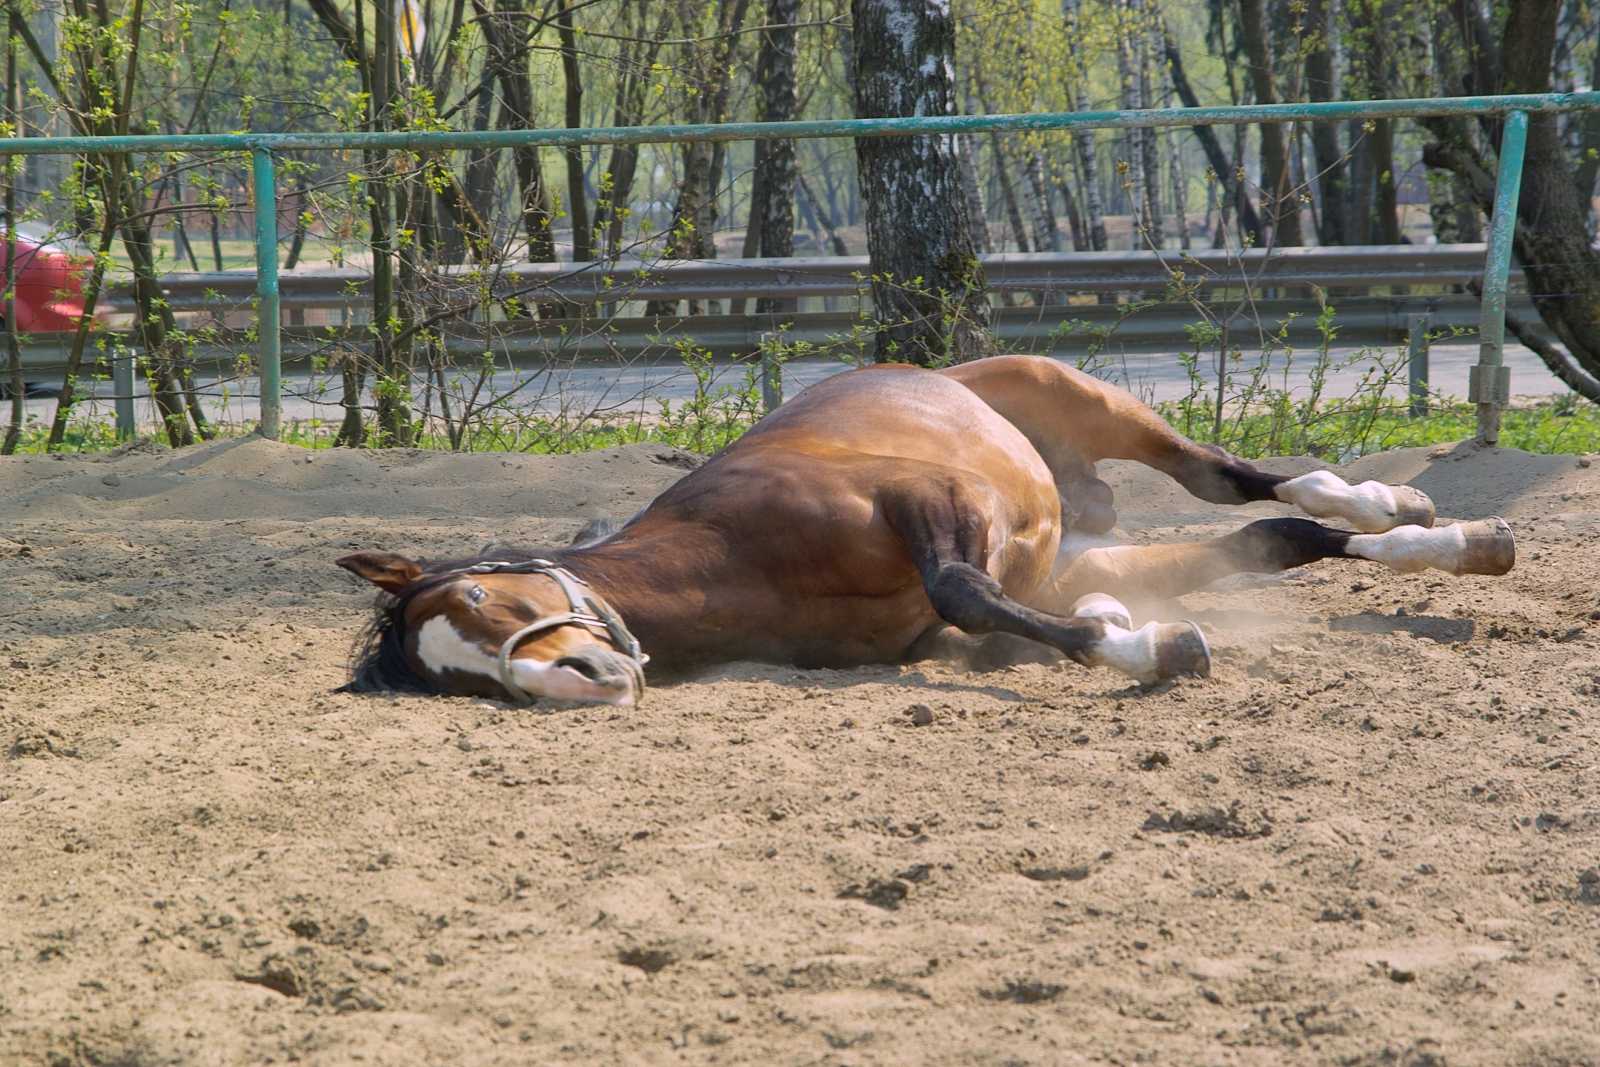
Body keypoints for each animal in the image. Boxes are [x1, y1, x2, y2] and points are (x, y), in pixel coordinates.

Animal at [337, 356, 1510, 710]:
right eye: (459, 678)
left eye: (484, 598)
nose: (570, 680)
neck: (732, 553)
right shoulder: (967, 616)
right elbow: (1002, 619)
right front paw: (1132, 635)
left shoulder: (935, 498)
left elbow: (959, 584)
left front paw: (1143, 647)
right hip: (1092, 539)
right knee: (1278, 536)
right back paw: (1449, 543)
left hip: (1090, 404)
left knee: (1234, 477)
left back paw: (1397, 504)